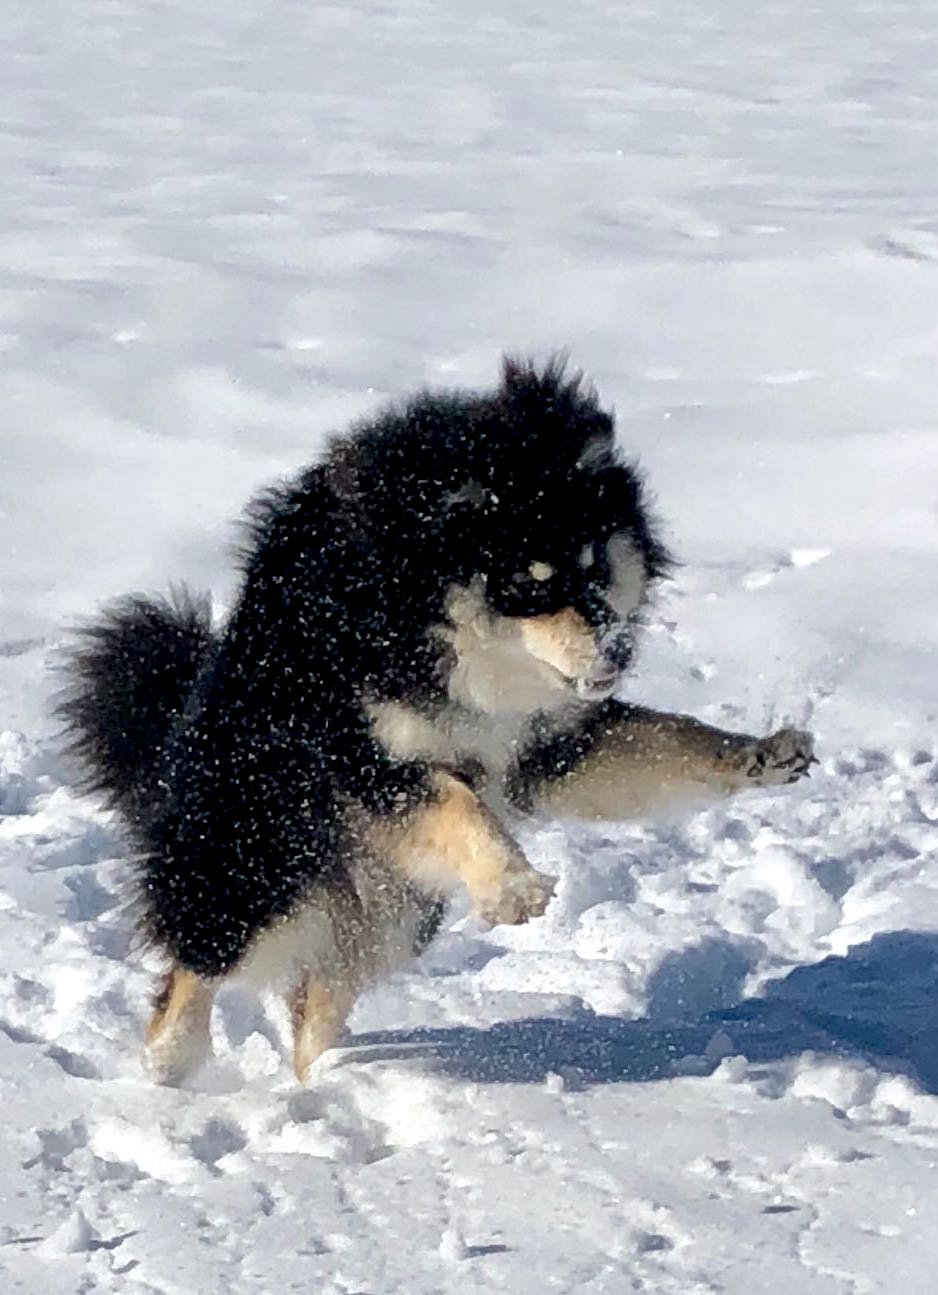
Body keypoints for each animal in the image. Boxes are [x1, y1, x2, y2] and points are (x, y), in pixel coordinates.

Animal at [58, 360, 818, 1087]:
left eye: (597, 565)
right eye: (530, 583)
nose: (617, 649)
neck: (435, 632)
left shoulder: (550, 745)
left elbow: (667, 738)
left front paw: (762, 754)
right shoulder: (372, 758)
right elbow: (459, 804)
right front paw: (514, 886)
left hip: (392, 915)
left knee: (314, 1005)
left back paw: (324, 1082)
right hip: (263, 854)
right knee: (202, 955)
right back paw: (171, 1058)